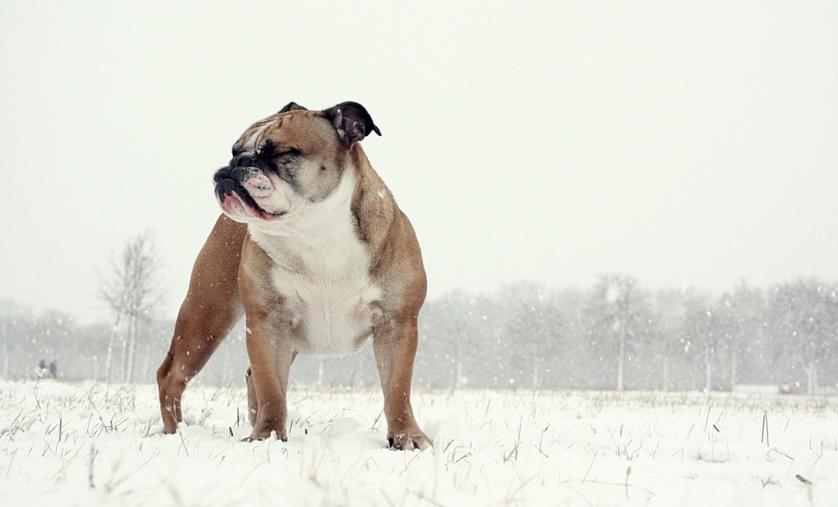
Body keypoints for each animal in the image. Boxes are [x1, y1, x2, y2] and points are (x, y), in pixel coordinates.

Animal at [157, 101, 434, 450]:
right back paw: (175, 432)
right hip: (207, 314)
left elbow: (397, 388)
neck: (315, 235)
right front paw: (267, 437)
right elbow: (271, 386)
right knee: (172, 375)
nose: (235, 164)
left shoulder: (396, 322)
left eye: (280, 152)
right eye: (234, 150)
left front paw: (407, 437)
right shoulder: (267, 323)